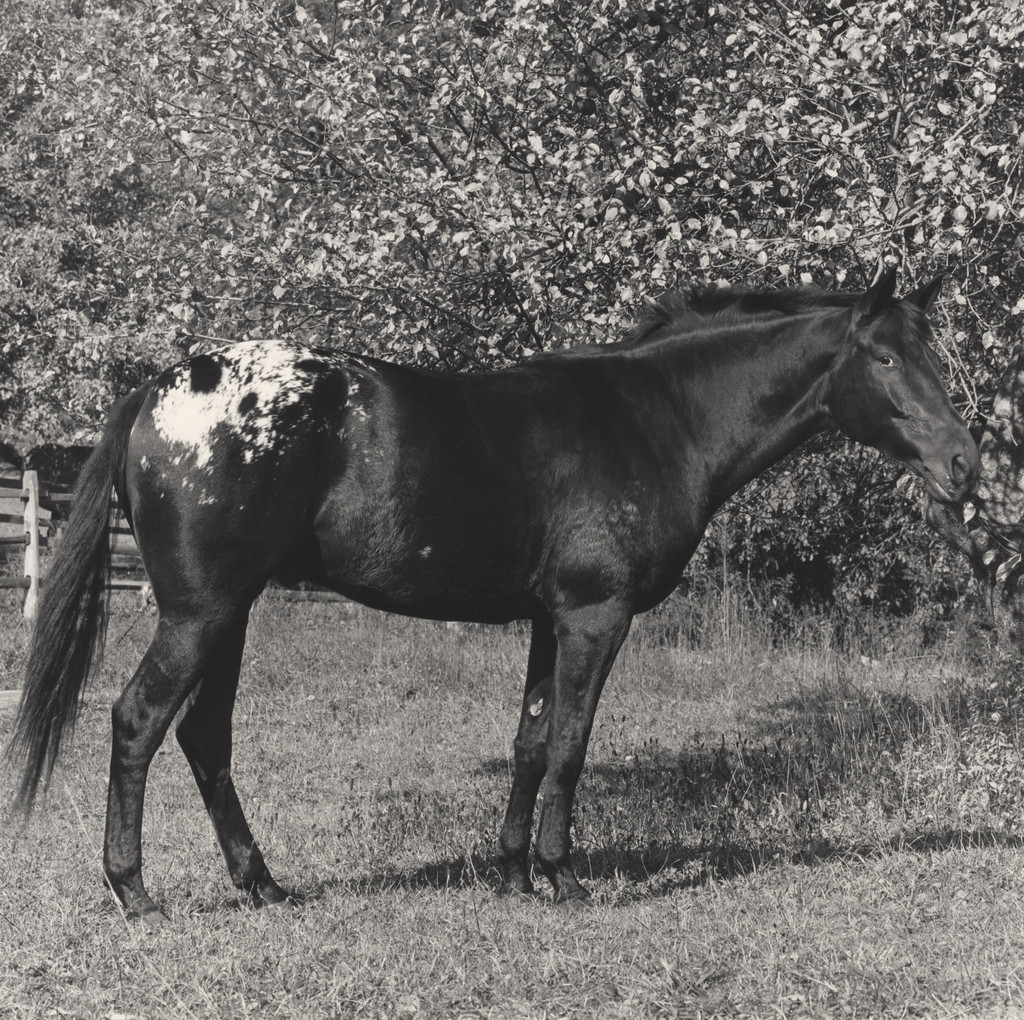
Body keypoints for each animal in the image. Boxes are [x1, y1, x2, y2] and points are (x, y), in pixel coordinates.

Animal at [8, 267, 979, 924]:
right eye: (883, 357)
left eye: (933, 353)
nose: (965, 462)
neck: (655, 419)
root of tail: (156, 391)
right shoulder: (594, 616)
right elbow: (572, 745)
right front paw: (564, 875)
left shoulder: (550, 619)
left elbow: (530, 739)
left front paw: (513, 873)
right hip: (200, 613)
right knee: (138, 721)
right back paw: (135, 891)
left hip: (232, 613)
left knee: (204, 738)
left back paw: (264, 884)